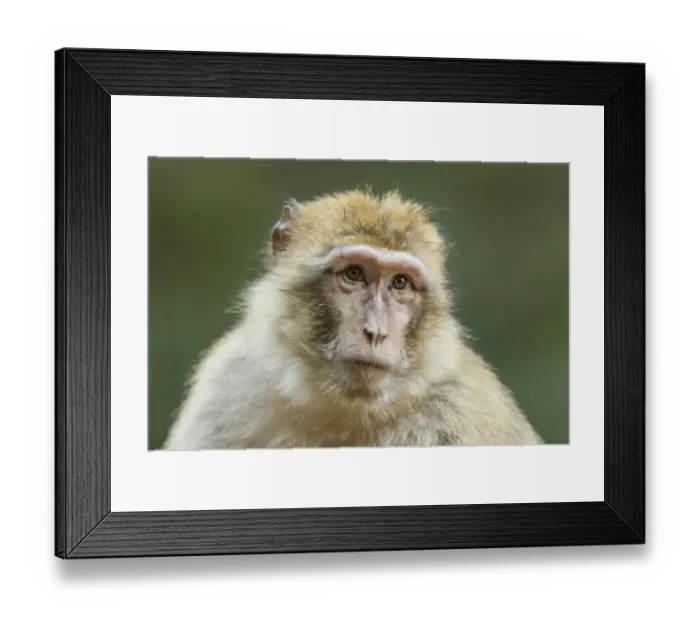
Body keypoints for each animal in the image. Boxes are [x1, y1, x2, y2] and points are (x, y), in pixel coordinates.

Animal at [162, 189, 543, 450]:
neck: (346, 410)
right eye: (355, 274)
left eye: (400, 283)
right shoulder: (229, 385)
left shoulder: (458, 414)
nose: (375, 332)